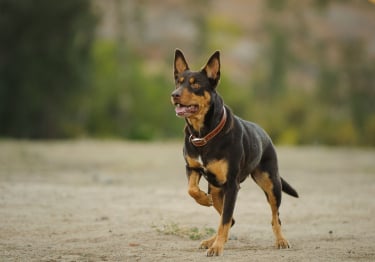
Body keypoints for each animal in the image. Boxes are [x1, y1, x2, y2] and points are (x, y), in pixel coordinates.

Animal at [171, 48, 300, 256]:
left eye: (195, 84)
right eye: (178, 82)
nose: (174, 94)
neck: (204, 134)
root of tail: (264, 134)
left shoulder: (232, 185)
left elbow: (224, 220)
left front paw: (217, 248)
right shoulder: (192, 168)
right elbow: (192, 190)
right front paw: (203, 200)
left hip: (271, 184)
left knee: (274, 217)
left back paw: (281, 240)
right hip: (217, 189)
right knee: (230, 219)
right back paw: (212, 239)